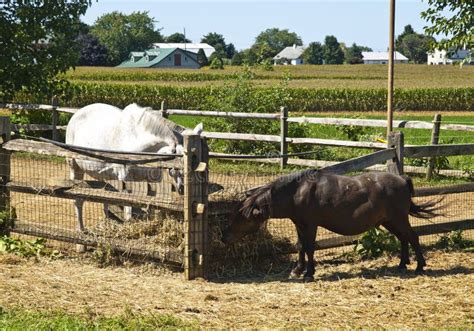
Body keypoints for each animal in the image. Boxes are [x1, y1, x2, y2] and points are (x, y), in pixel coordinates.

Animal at [65, 102, 202, 235]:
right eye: (179, 162)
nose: (183, 188)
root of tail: (76, 114)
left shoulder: (151, 181)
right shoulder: (127, 180)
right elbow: (128, 207)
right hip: (75, 168)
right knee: (77, 199)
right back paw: (81, 230)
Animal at [220, 171, 442, 282]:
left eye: (241, 218)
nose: (223, 237)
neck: (297, 192)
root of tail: (402, 178)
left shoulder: (311, 224)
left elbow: (310, 247)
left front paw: (309, 273)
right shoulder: (299, 224)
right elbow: (300, 247)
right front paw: (298, 270)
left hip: (398, 218)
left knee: (412, 237)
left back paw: (419, 266)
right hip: (389, 221)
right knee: (404, 239)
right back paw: (402, 264)